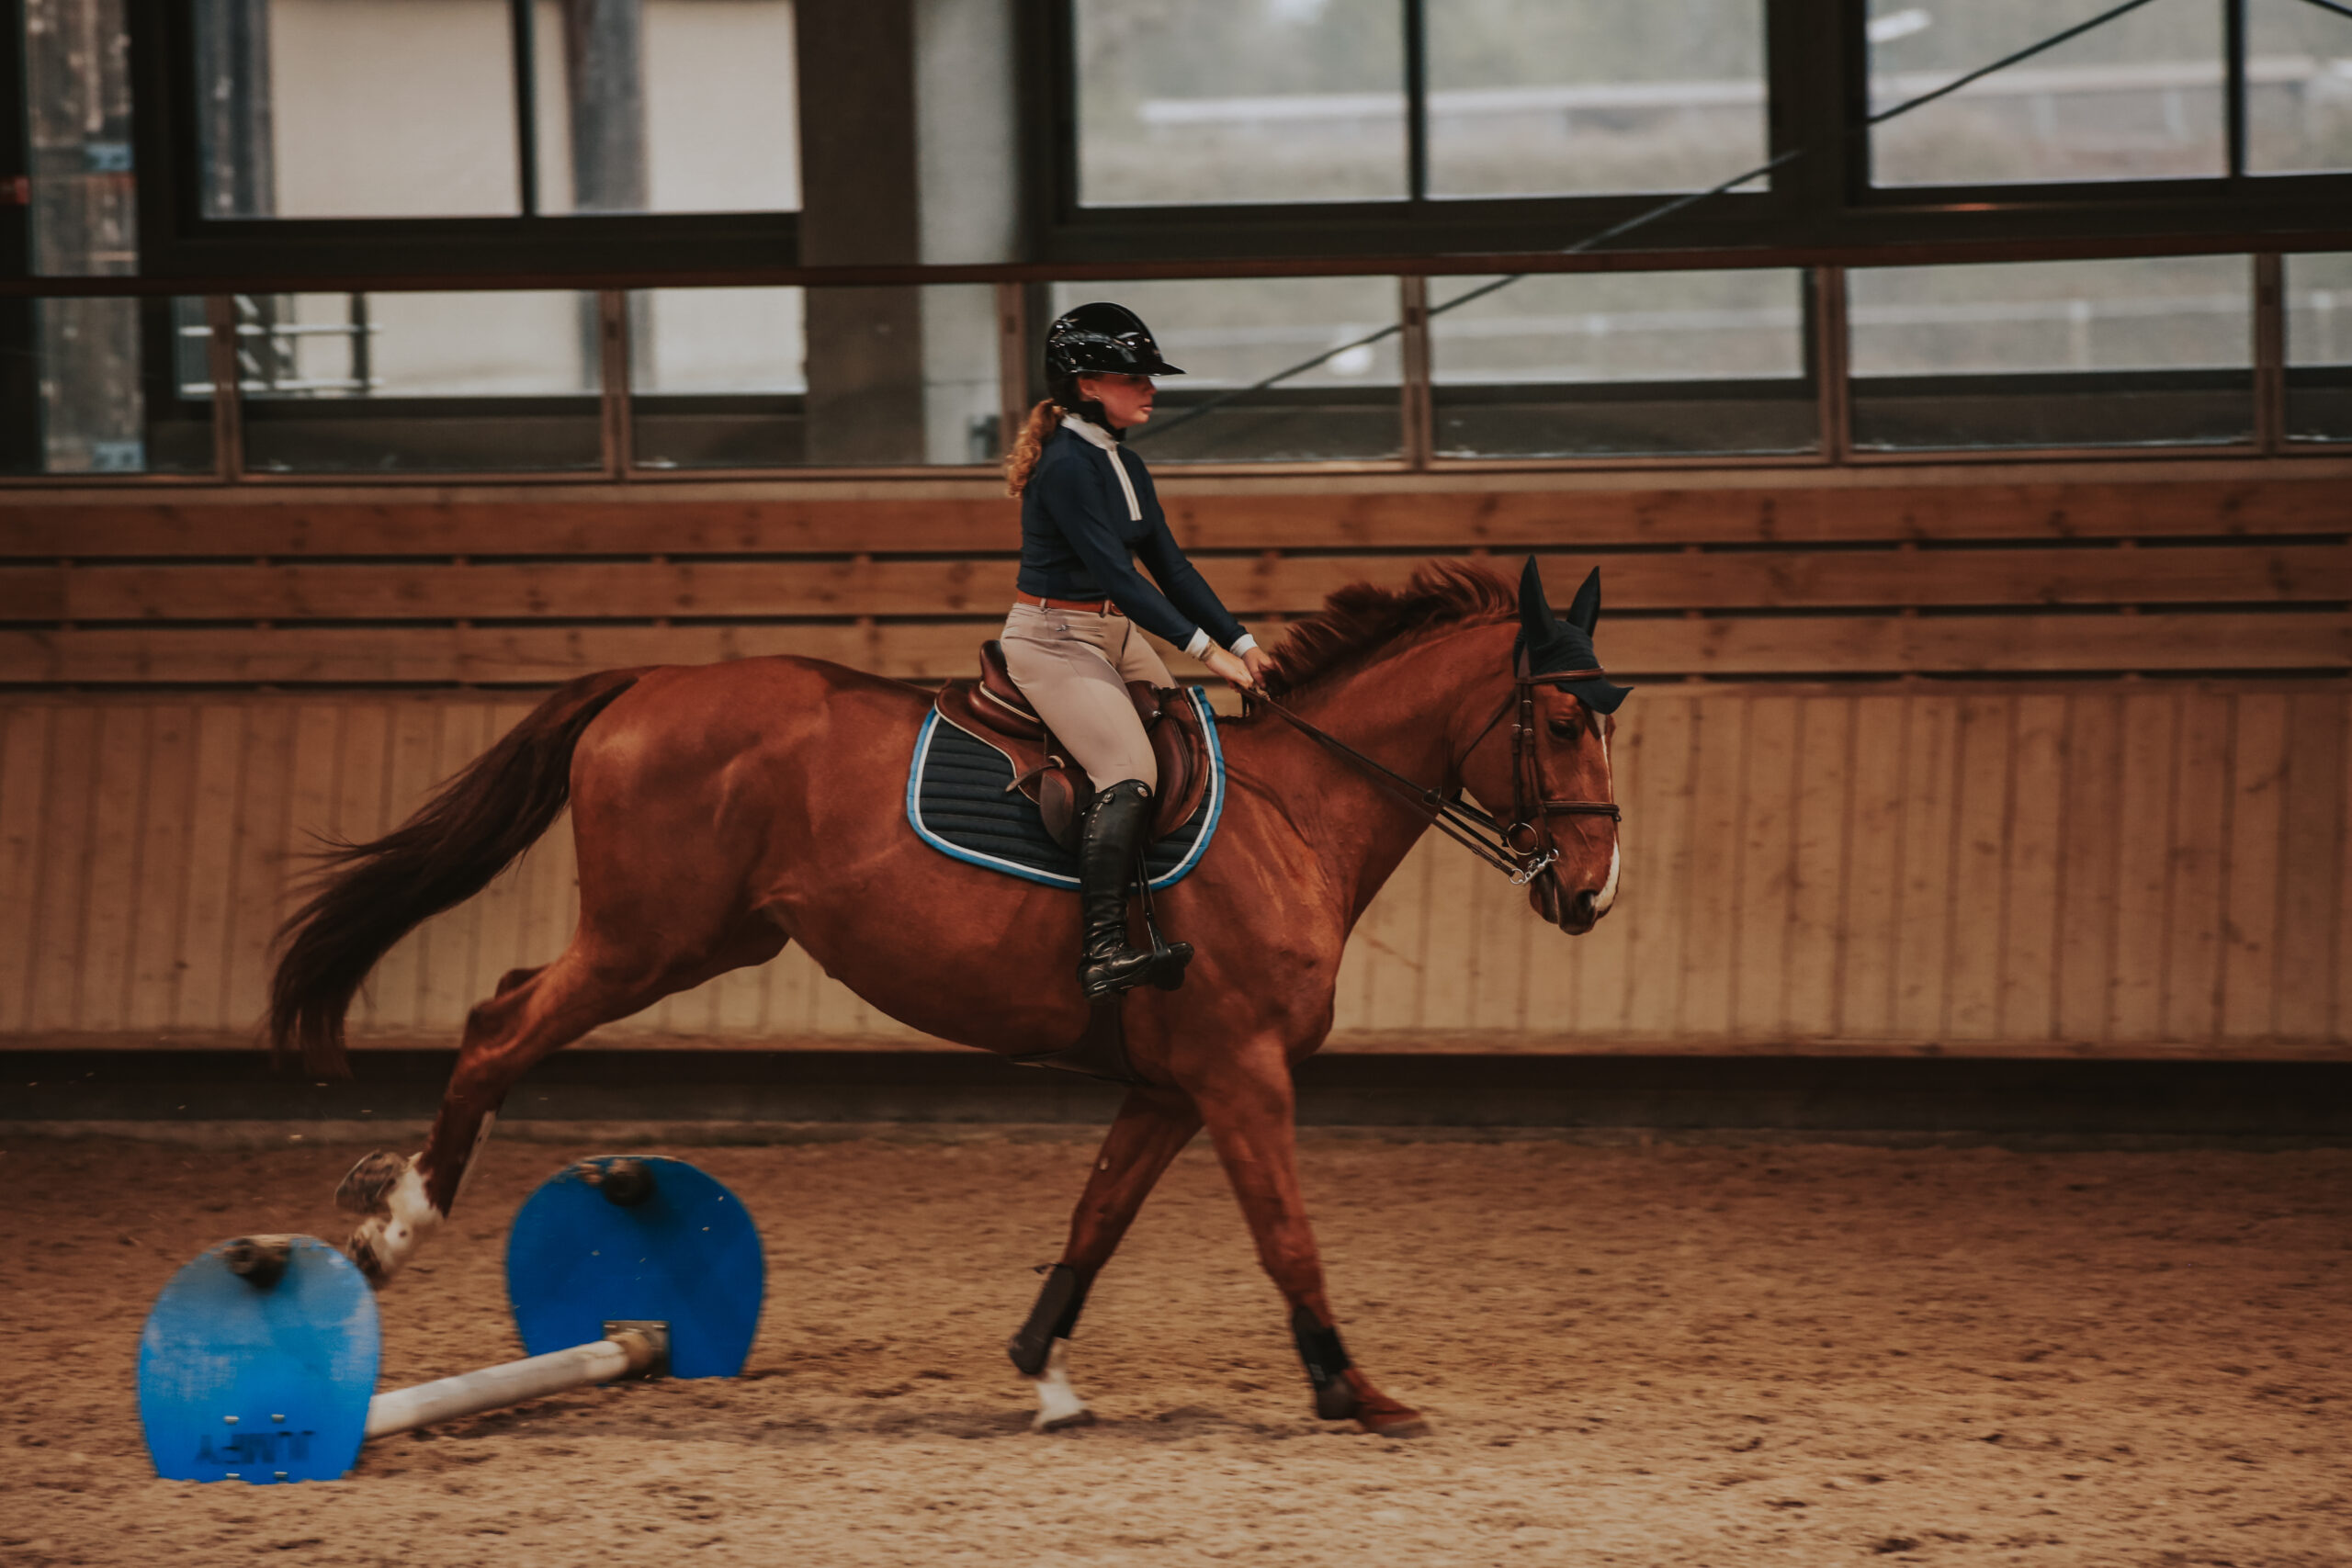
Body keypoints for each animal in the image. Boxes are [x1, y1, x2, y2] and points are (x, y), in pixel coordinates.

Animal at [268, 556, 1624, 1437]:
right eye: (1560, 719)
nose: (1594, 892)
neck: (1297, 809)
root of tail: (650, 679)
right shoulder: (1243, 1071)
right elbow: (1286, 1233)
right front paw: (1357, 1390)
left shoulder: (1175, 1084)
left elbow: (1096, 1217)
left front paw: (1044, 1374)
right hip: (649, 942)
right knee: (501, 1026)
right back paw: (396, 1217)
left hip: (701, 941)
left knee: (506, 1005)